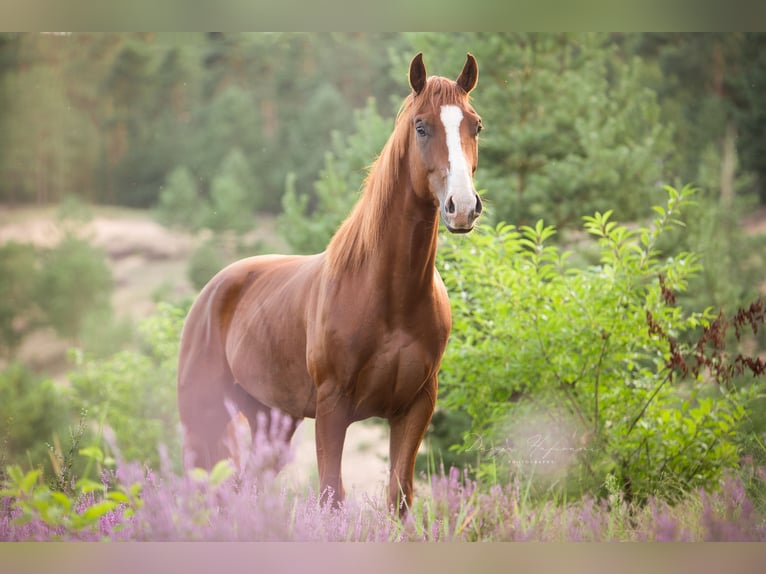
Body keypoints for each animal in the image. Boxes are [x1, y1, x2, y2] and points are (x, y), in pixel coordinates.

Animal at [177, 52, 483, 513]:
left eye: (475, 125)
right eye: (421, 126)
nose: (462, 207)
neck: (388, 295)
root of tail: (210, 294)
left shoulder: (415, 408)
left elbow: (399, 496)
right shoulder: (332, 408)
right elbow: (330, 496)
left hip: (273, 421)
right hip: (204, 420)